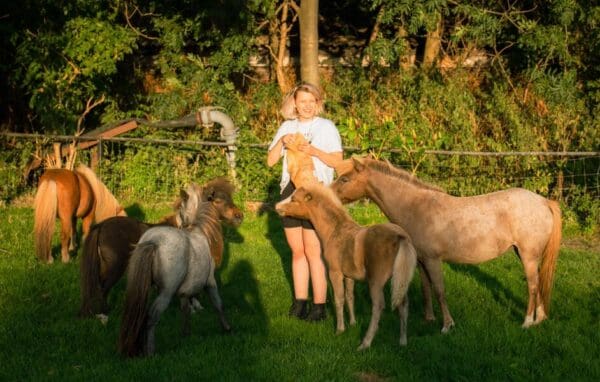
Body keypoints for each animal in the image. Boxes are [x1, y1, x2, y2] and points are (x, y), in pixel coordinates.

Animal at [118, 179, 243, 358]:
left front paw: (186, 334)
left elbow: (185, 309)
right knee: (152, 316)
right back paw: (150, 352)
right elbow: (218, 304)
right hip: (166, 292)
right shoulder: (210, 282)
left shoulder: (184, 291)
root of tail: (153, 242)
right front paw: (227, 328)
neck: (201, 231)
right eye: (219, 200)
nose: (240, 216)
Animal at [276, 182, 418, 350]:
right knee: (403, 304)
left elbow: (339, 298)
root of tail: (401, 237)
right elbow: (350, 296)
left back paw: (365, 343)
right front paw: (353, 323)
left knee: (379, 306)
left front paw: (340, 329)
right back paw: (402, 341)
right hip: (400, 279)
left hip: (376, 281)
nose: (277, 207)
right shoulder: (349, 276)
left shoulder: (335, 273)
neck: (335, 231)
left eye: (293, 199)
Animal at [332, 157, 564, 332]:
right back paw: (540, 318)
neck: (415, 207)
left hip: (528, 255)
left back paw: (527, 322)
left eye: (344, 179)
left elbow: (439, 291)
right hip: (524, 254)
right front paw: (429, 319)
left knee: (532, 286)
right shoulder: (422, 261)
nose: (329, 194)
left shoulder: (433, 260)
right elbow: (426, 289)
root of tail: (544, 202)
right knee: (539, 284)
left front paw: (447, 325)